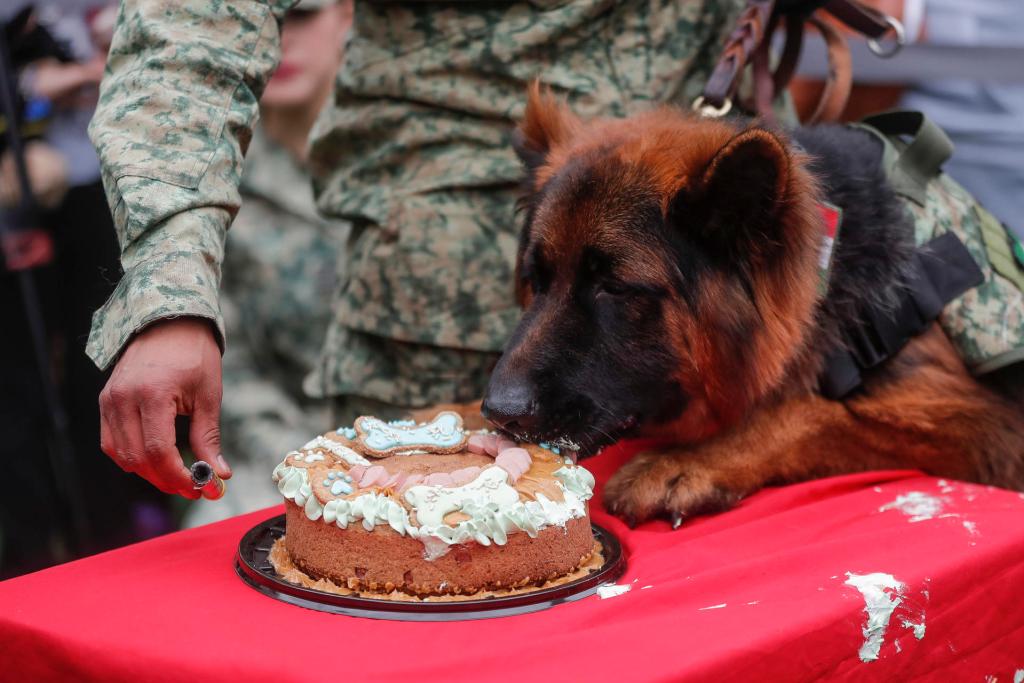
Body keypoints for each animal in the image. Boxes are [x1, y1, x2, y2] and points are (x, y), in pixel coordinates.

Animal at [479, 87, 1024, 528]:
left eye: (613, 287)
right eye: (537, 280)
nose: (499, 412)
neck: (829, 265)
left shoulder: (990, 429)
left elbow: (812, 414)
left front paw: (686, 461)